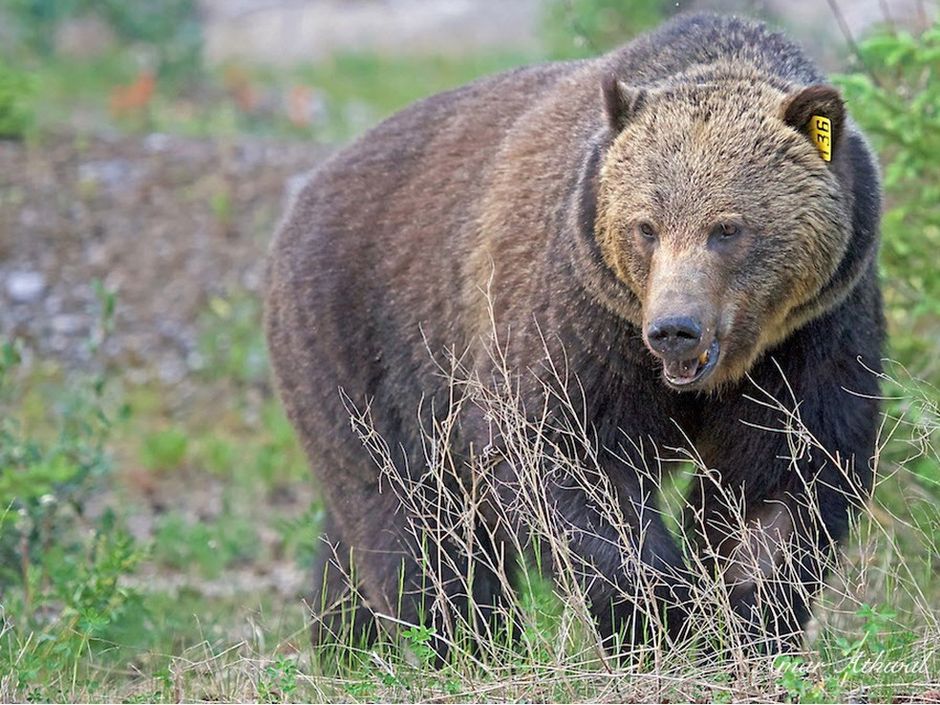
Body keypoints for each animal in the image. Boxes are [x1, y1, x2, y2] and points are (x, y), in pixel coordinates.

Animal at [264, 13, 880, 656]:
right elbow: (560, 457)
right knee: (412, 516)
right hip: (368, 343)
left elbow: (786, 476)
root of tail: (304, 195)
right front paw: (658, 619)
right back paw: (464, 643)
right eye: (646, 227)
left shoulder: (812, 333)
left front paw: (745, 620)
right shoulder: (578, 317)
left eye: (728, 228)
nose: (675, 330)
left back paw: (345, 641)